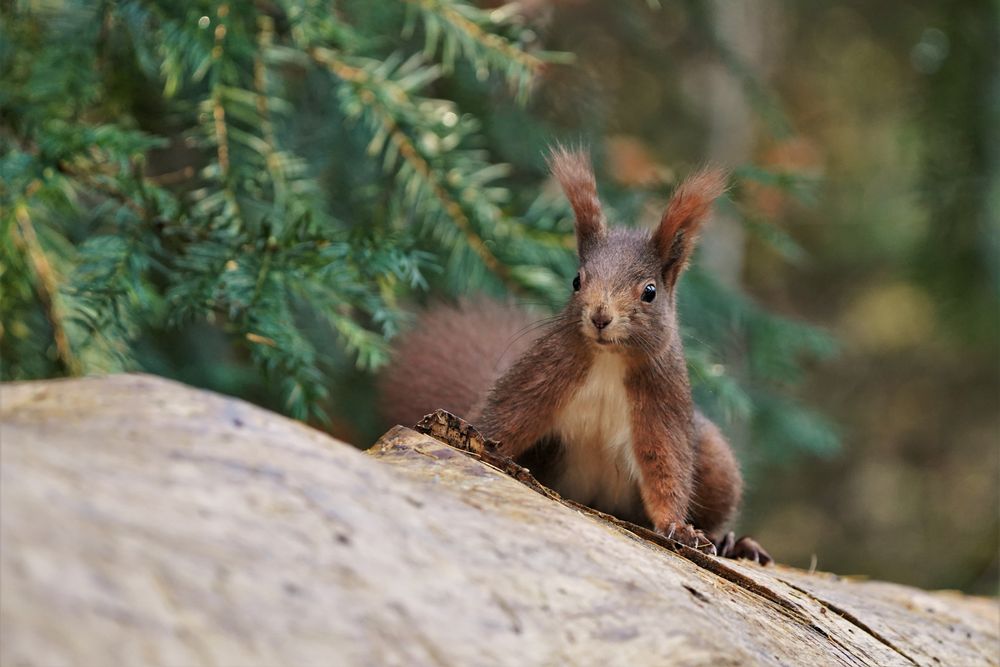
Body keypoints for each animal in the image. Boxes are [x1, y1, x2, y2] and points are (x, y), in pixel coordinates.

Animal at [380, 147, 771, 563]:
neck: (607, 361)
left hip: (716, 461)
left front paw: (680, 528)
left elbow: (667, 471)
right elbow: (498, 422)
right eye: (576, 280)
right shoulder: (540, 377)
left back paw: (734, 542)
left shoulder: (660, 404)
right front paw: (465, 438)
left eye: (650, 291)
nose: (600, 316)